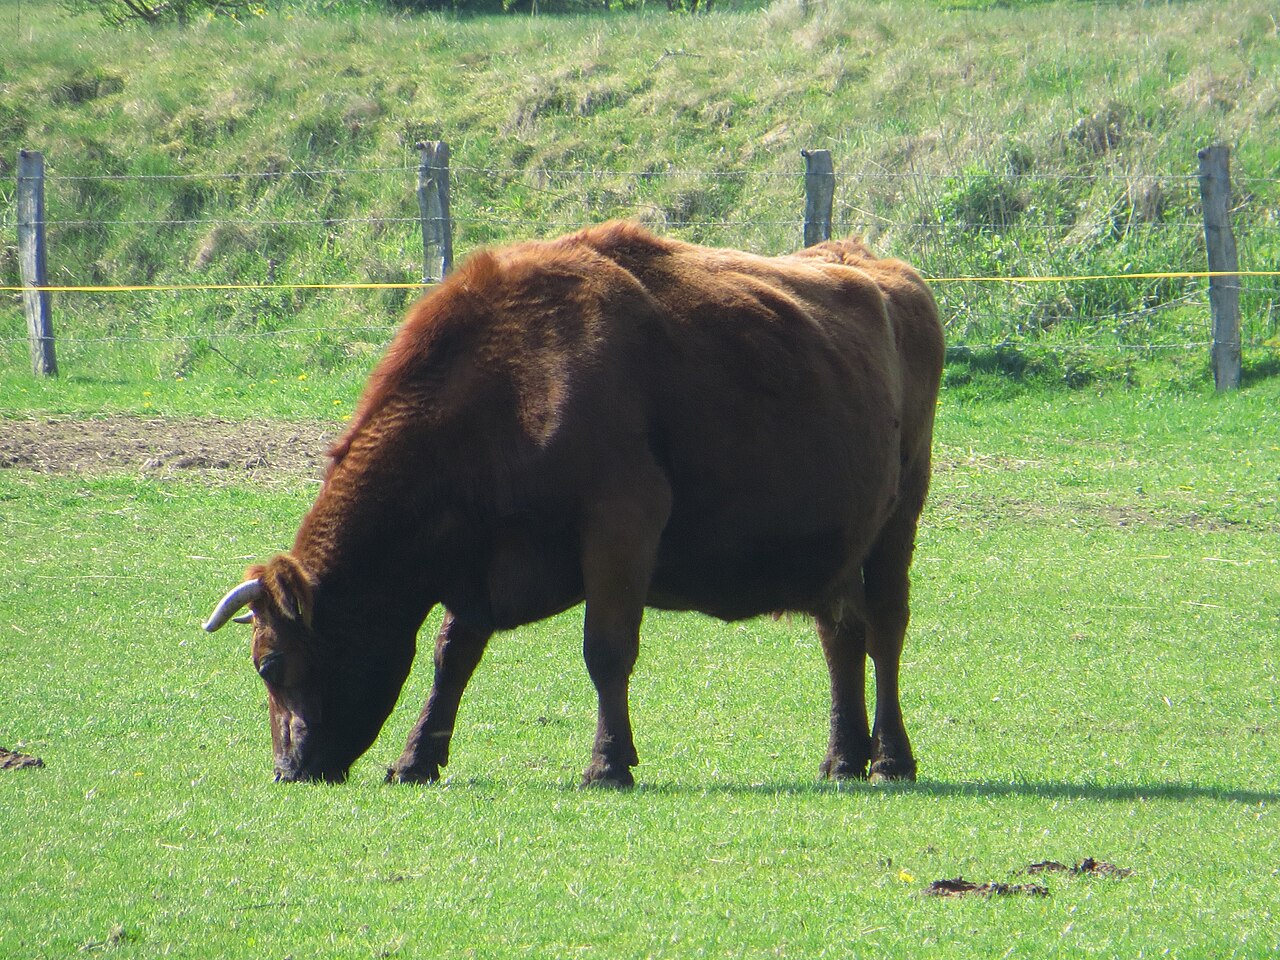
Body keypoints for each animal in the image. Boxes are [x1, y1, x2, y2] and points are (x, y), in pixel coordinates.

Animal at [203, 221, 944, 788]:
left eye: (270, 663)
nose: (287, 770)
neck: (512, 382)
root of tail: (873, 263)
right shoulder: (481, 562)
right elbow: (452, 655)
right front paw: (416, 760)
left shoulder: (623, 522)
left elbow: (607, 650)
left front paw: (608, 764)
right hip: (838, 539)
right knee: (841, 634)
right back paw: (843, 757)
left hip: (899, 515)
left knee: (885, 627)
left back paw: (892, 758)